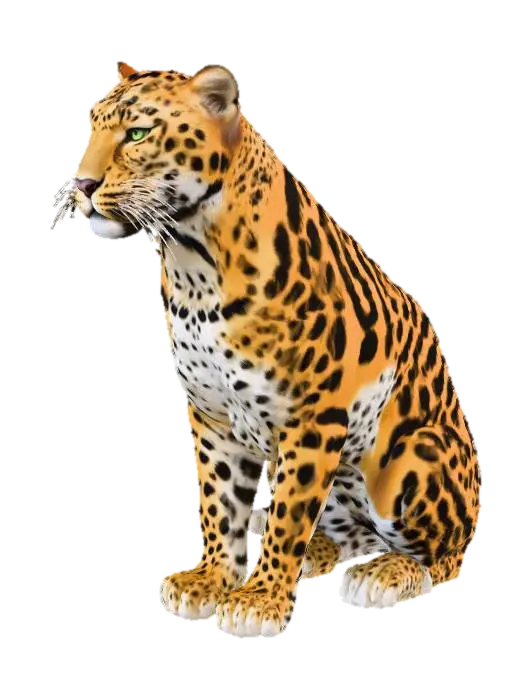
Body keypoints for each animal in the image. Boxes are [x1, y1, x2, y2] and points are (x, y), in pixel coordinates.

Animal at [58, 59, 484, 634]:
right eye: (91, 128)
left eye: (139, 134)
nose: (80, 183)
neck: (193, 263)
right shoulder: (212, 416)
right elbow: (220, 503)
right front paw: (212, 579)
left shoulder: (311, 420)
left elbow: (286, 515)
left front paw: (259, 599)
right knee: (346, 534)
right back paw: (326, 556)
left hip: (414, 455)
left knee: (447, 553)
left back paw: (390, 573)